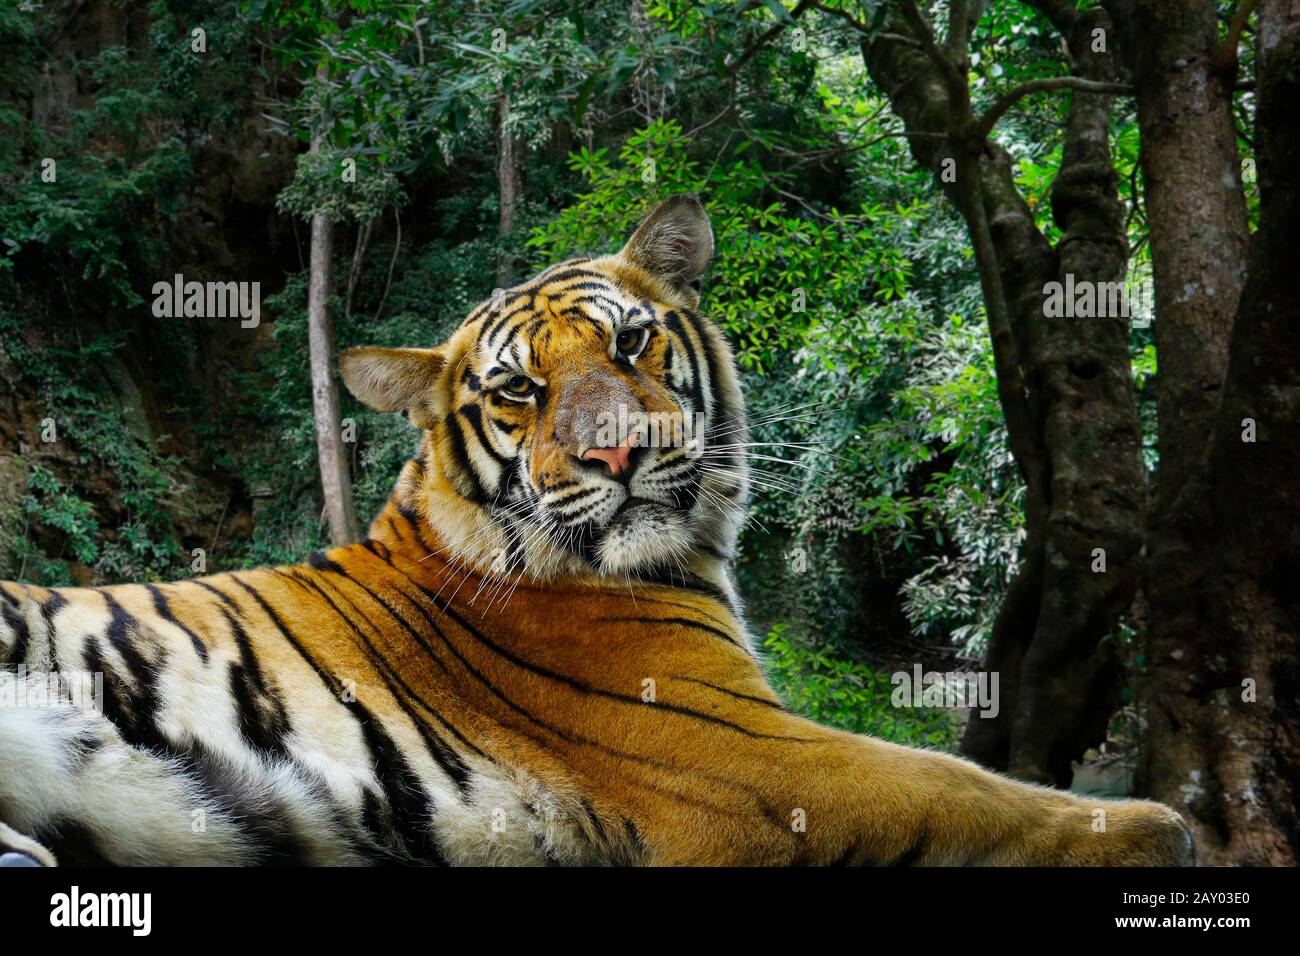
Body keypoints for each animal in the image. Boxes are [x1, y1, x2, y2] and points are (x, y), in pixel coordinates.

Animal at [0, 196, 1193, 866]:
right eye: (518, 391)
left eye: (627, 343)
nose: (616, 456)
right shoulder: (746, 757)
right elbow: (963, 789)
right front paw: (1150, 828)